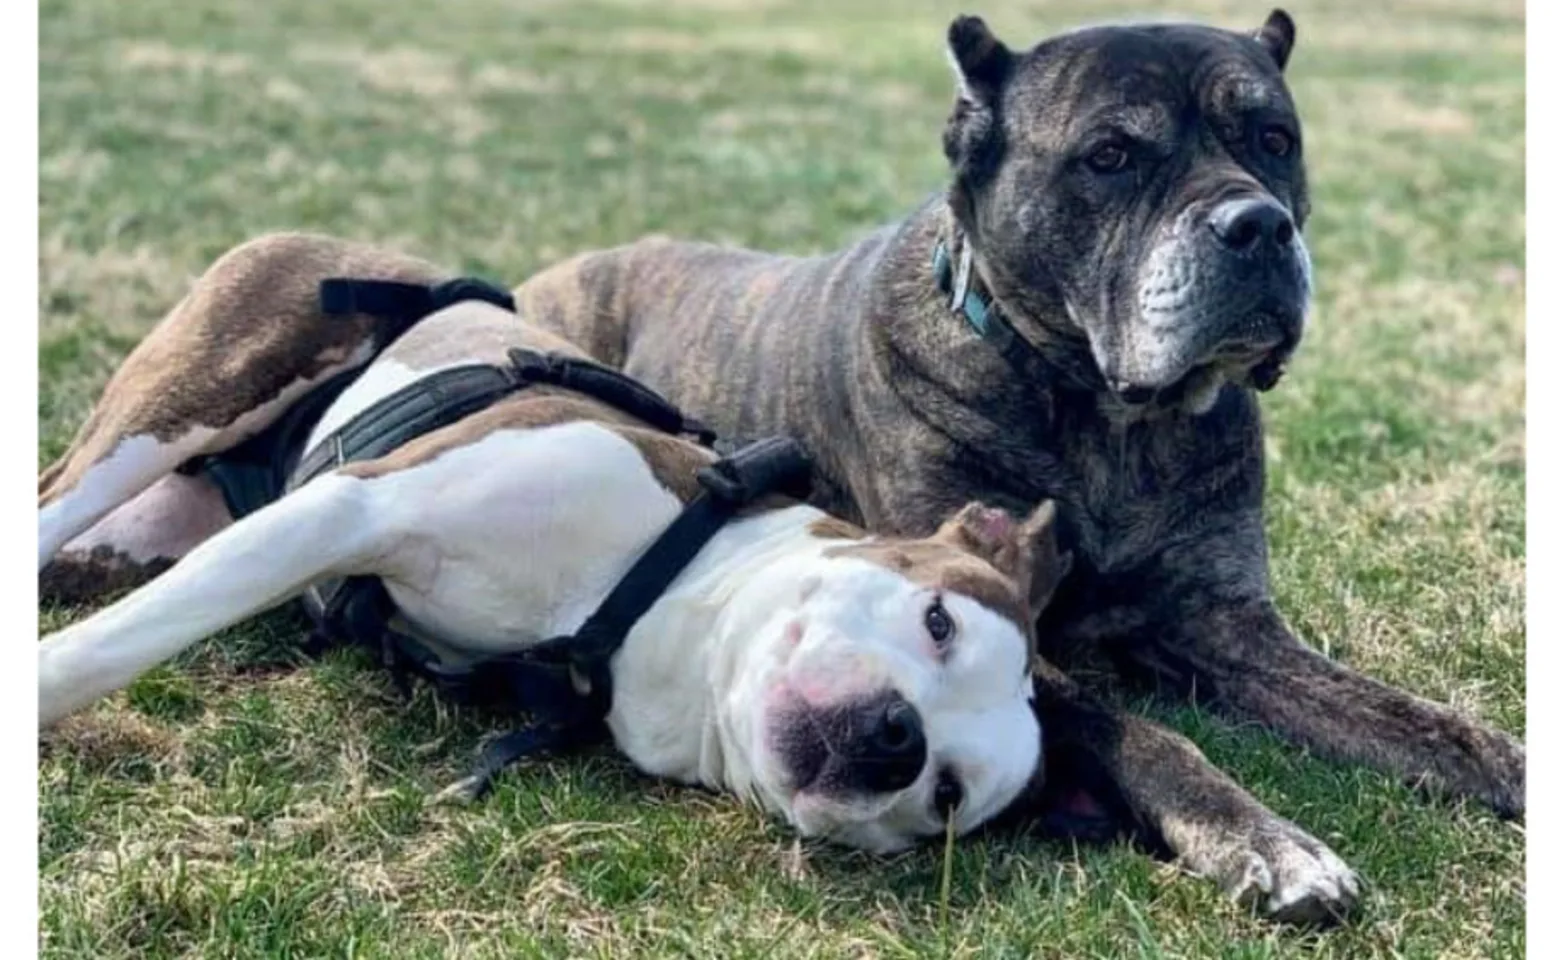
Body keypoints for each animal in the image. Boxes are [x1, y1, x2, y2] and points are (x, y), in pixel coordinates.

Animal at [516, 7, 1526, 919]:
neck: (1110, 420)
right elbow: (1149, 737)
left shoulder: (1230, 625)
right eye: (1111, 156)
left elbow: (1425, 723)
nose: (1260, 225)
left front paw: (1509, 762)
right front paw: (1267, 842)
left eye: (1275, 140)